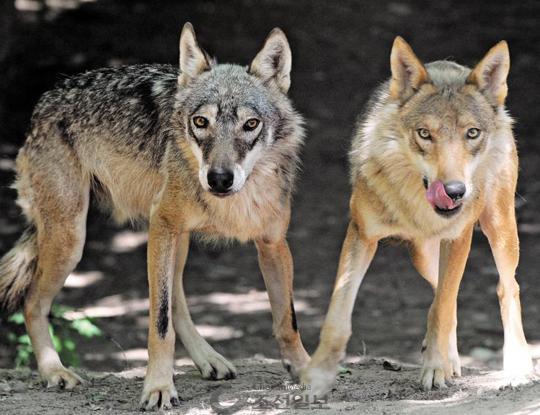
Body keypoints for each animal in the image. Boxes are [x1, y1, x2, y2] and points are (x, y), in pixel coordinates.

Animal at [0, 24, 310, 412]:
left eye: (250, 124)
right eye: (200, 122)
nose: (219, 179)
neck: (238, 201)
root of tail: (45, 101)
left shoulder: (273, 244)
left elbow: (288, 320)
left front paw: (308, 371)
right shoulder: (163, 227)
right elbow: (159, 322)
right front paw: (159, 387)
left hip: (174, 239)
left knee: (177, 298)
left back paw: (208, 360)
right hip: (73, 240)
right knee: (32, 302)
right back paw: (54, 371)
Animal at [302, 36, 532, 396]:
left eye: (472, 133)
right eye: (425, 134)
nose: (455, 191)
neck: (416, 206)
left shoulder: (459, 237)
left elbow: (441, 308)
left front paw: (435, 369)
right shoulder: (361, 234)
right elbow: (338, 310)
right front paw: (318, 375)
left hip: (501, 228)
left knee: (505, 288)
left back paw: (518, 365)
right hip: (422, 256)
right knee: (446, 295)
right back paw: (451, 359)